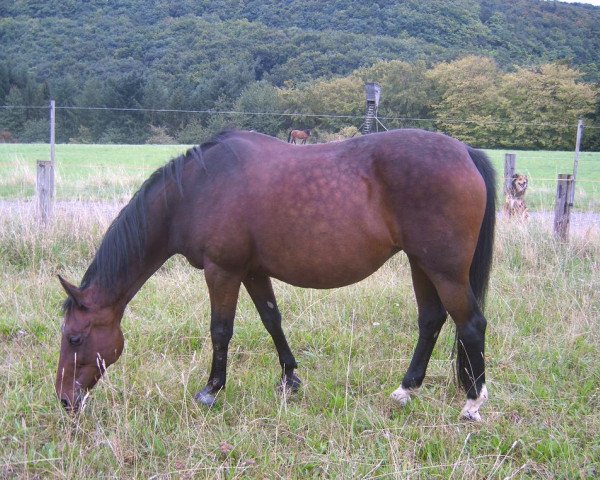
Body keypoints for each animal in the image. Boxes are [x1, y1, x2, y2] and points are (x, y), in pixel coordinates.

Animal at [56, 129, 496, 422]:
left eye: (75, 338)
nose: (64, 400)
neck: (196, 190)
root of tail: (464, 151)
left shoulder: (223, 270)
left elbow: (221, 330)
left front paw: (211, 390)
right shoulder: (252, 271)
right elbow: (272, 319)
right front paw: (290, 380)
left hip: (444, 270)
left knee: (471, 323)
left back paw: (472, 403)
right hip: (421, 264)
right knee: (431, 320)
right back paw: (406, 390)